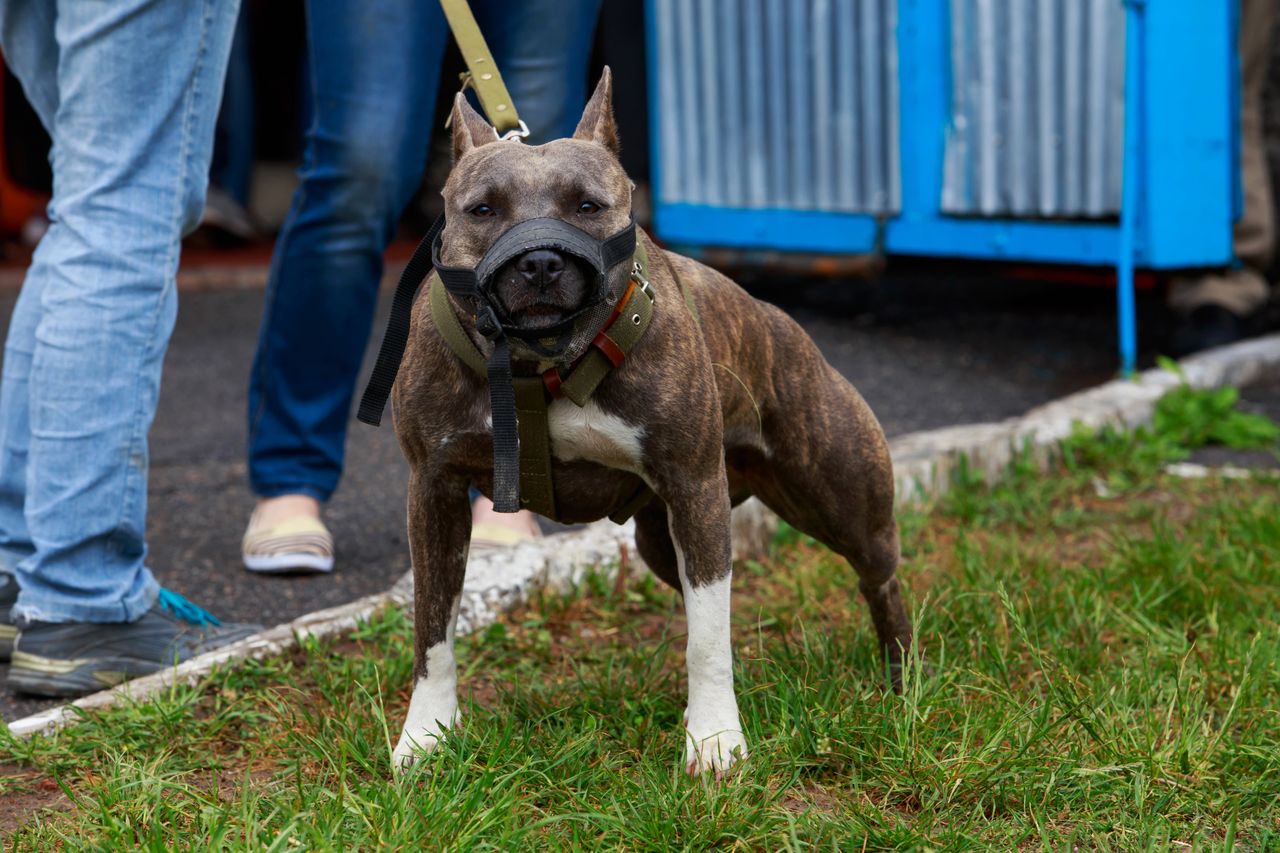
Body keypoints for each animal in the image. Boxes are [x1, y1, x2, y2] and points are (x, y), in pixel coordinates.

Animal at [389, 68, 911, 768]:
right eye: (483, 210)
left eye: (588, 206)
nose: (540, 262)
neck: (540, 365)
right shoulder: (435, 492)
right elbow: (432, 630)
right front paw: (425, 738)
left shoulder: (695, 488)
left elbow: (708, 637)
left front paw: (715, 741)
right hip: (660, 541)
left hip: (842, 503)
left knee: (880, 578)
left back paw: (904, 679)